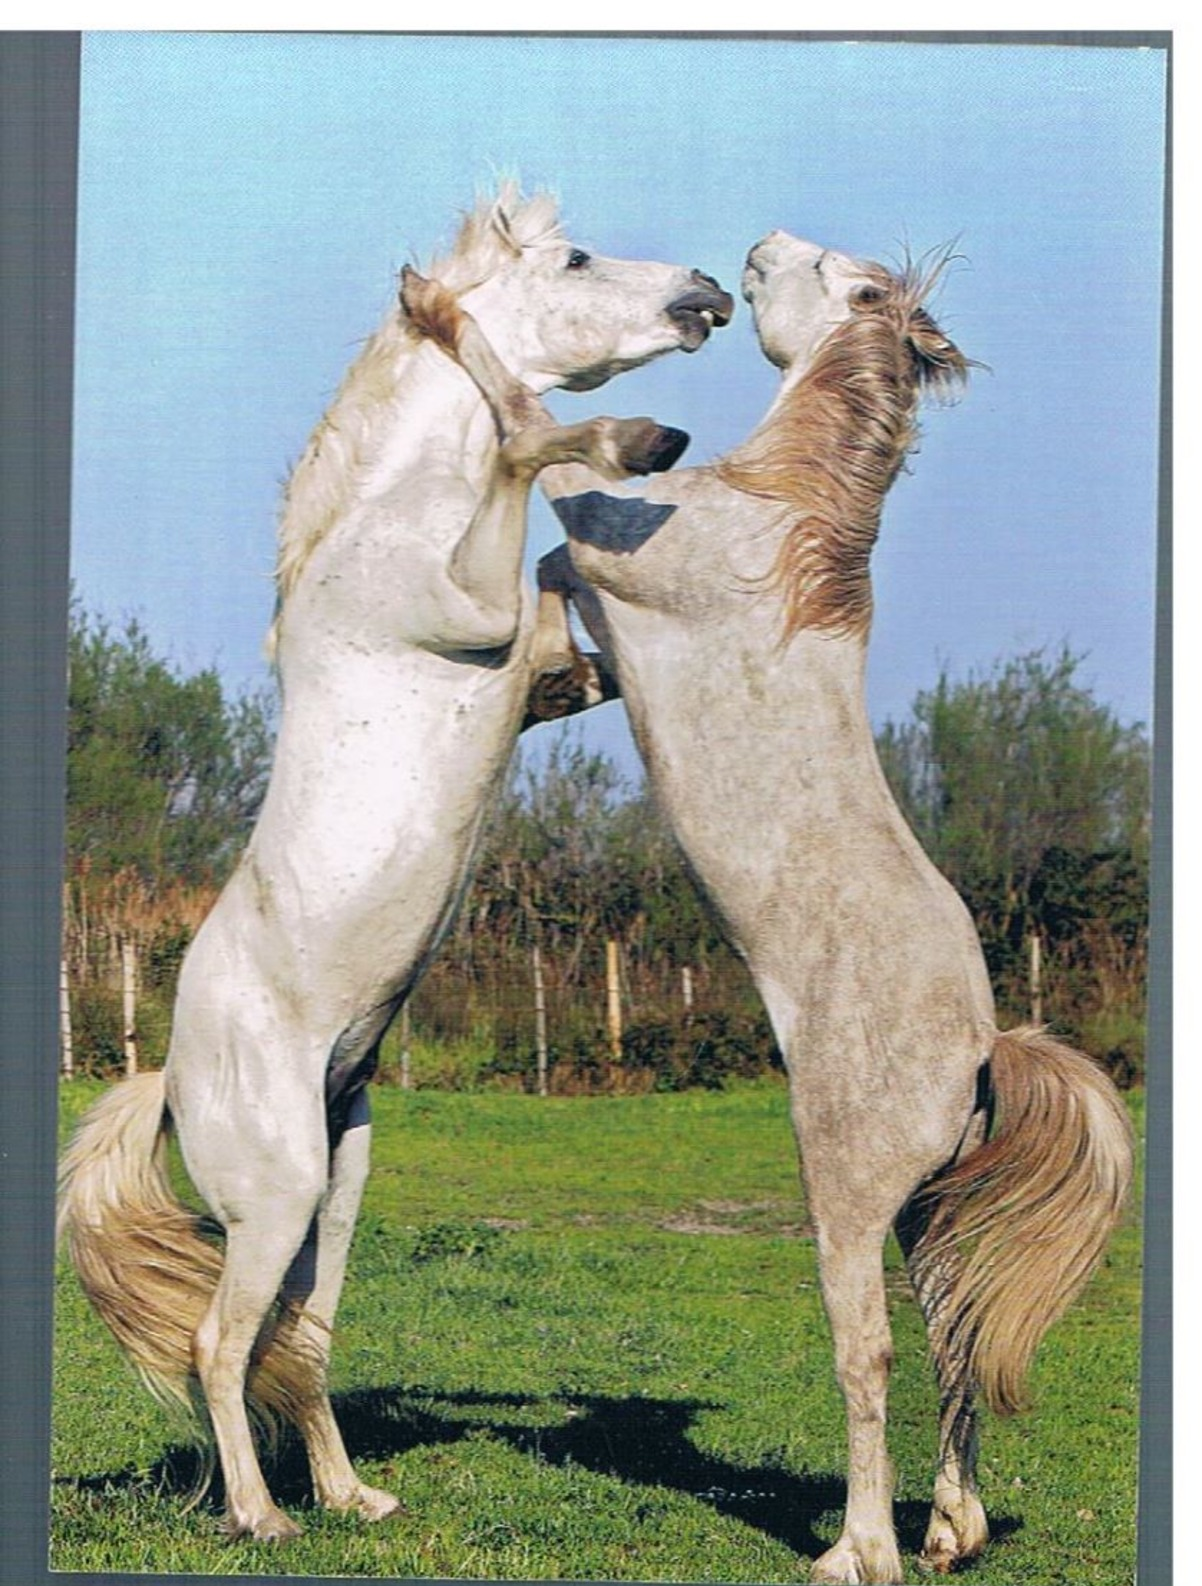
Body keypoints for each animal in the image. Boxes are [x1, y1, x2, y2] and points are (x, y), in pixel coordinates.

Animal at [56, 182, 735, 1535]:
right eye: (577, 259)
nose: (709, 292)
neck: (378, 522)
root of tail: (171, 1077)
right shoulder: (472, 609)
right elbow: (522, 468)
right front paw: (624, 435)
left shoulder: (541, 674)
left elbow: (558, 578)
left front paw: (637, 457)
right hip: (272, 1192)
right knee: (220, 1339)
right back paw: (259, 1513)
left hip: (338, 1184)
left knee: (299, 1338)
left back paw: (350, 1495)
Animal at [409, 234, 1135, 1586]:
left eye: (835, 270)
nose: (739, 261)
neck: (772, 514)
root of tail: (982, 1048)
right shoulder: (598, 575)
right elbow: (549, 577)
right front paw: (552, 679)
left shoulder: (612, 540)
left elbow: (535, 437)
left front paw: (438, 310)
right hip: (927, 1216)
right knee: (953, 1342)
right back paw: (948, 1528)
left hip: (842, 1192)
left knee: (873, 1353)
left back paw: (859, 1548)